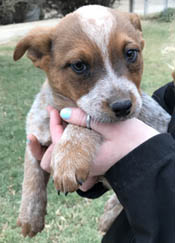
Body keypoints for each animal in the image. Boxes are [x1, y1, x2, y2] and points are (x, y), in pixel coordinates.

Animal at [14, 4, 171, 237]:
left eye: (131, 53)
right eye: (79, 65)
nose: (123, 106)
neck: (60, 108)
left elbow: (84, 123)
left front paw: (69, 157)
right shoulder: (34, 135)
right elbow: (31, 176)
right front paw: (30, 217)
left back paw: (109, 213)